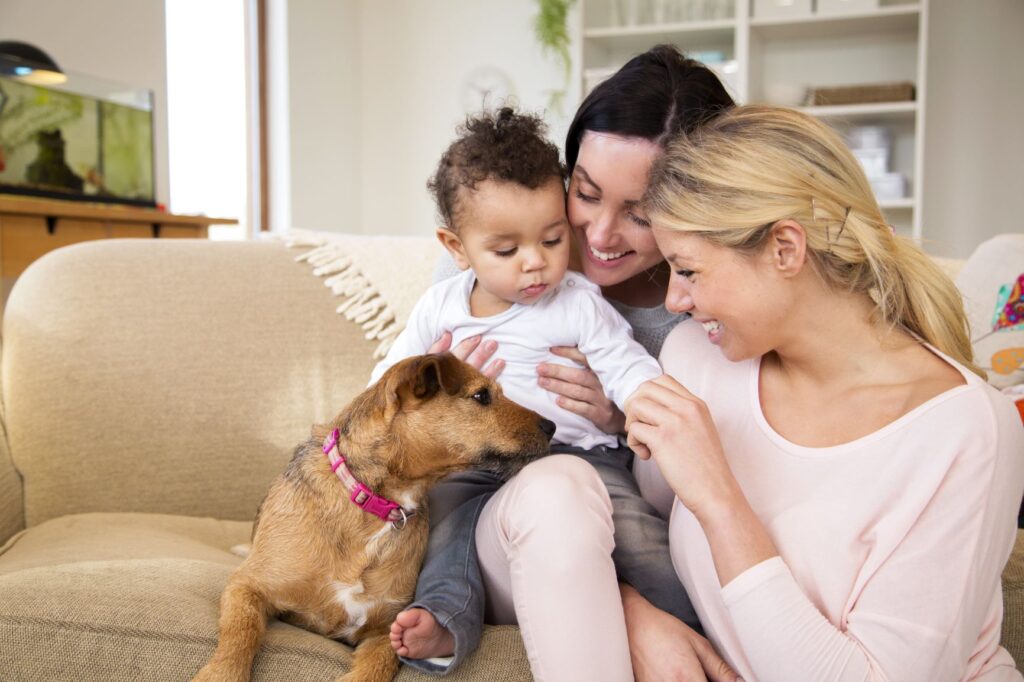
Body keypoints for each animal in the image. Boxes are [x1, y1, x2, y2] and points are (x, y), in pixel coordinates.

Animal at [192, 350, 552, 679]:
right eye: (481, 396)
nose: (552, 425)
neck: (374, 502)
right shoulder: (247, 586)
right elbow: (242, 631)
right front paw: (221, 673)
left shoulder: (388, 630)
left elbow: (374, 668)